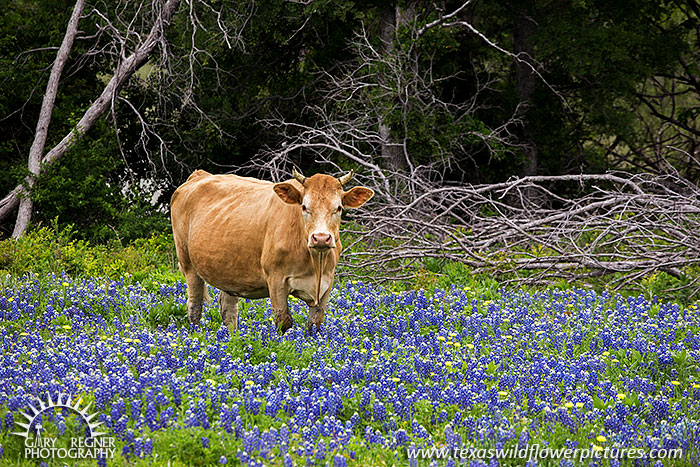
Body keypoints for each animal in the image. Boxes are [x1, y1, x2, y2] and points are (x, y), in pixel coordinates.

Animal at [170, 168, 374, 334]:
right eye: (304, 206)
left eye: (338, 208)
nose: (321, 238)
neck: (315, 262)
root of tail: (199, 175)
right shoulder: (276, 280)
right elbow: (284, 321)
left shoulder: (327, 283)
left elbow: (315, 324)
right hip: (188, 264)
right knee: (195, 306)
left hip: (229, 271)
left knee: (228, 308)